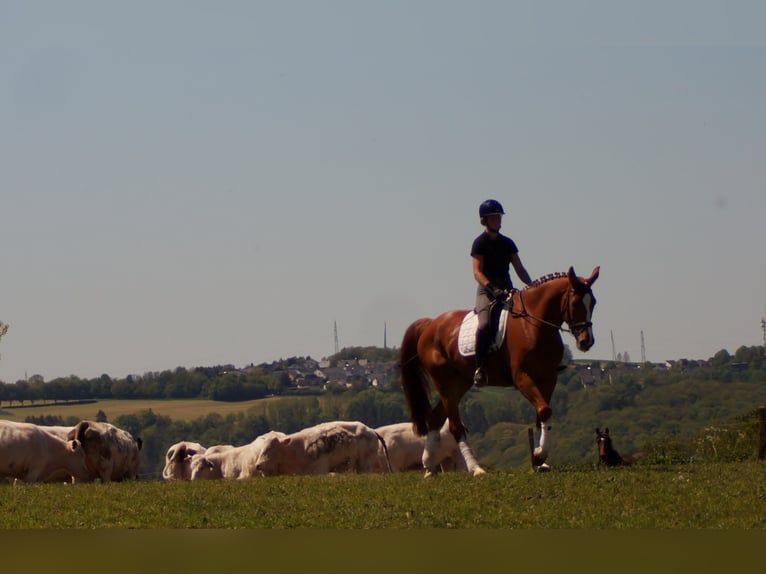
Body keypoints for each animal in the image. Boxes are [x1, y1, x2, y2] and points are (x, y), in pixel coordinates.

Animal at [402, 268, 600, 480]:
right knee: (455, 427)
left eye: (593, 302)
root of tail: (431, 325)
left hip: (459, 383)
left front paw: (539, 459)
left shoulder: (548, 379)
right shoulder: (522, 377)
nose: (586, 342)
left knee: (434, 420)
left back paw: (429, 467)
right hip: (445, 383)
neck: (534, 324)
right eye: (575, 302)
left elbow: (541, 415)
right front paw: (539, 455)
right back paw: (476, 469)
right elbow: (545, 411)